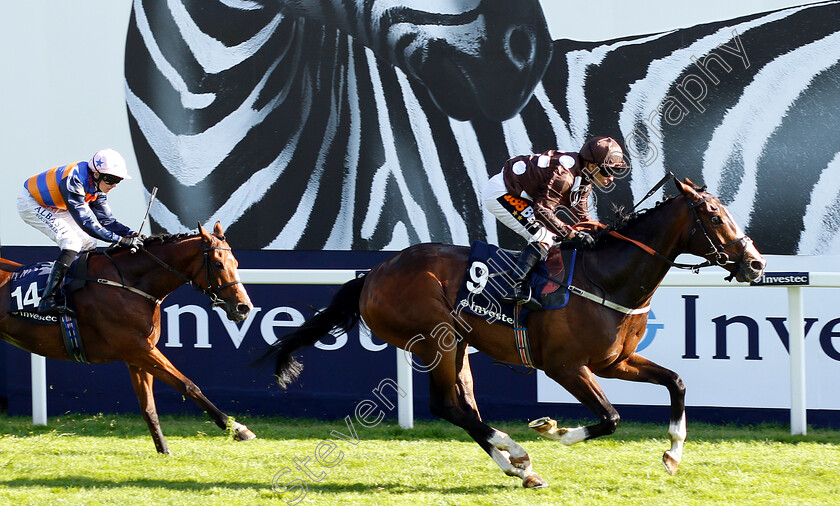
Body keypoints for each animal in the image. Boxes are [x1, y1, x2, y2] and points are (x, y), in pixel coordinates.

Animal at [0, 221, 256, 454]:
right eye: (218, 264)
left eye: (236, 263)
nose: (244, 307)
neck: (127, 284)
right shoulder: (138, 348)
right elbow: (188, 385)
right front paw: (237, 427)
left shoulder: (138, 355)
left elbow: (149, 407)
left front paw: (163, 451)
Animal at [262, 178, 768, 486]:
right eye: (714, 216)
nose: (756, 263)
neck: (607, 278)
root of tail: (373, 275)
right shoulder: (565, 366)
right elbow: (610, 418)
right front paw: (553, 430)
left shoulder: (614, 360)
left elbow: (676, 382)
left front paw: (674, 453)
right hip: (435, 339)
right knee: (447, 406)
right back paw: (517, 451)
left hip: (457, 345)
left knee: (462, 406)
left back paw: (517, 466)